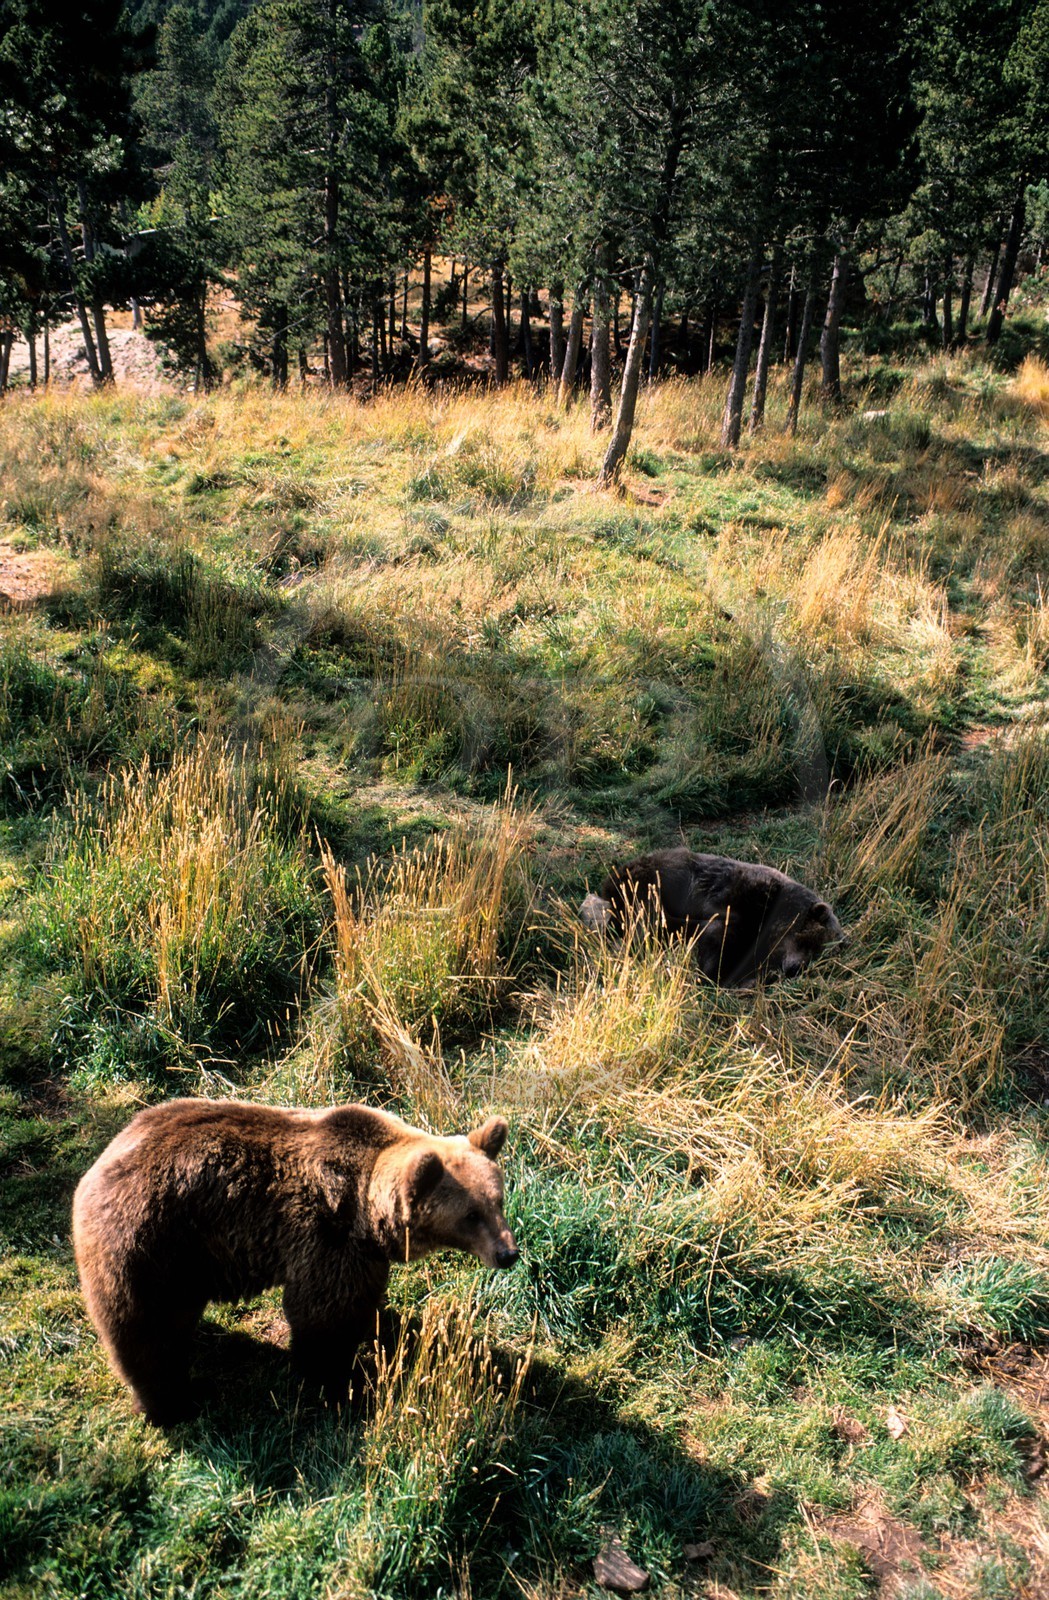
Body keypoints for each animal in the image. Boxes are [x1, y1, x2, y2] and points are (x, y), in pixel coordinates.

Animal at [72, 1098, 518, 1426]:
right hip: (150, 1247)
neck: (368, 1210)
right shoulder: (328, 1240)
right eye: (470, 1215)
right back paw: (169, 1404)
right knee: (145, 1334)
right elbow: (322, 1317)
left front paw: (381, 1325)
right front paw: (338, 1384)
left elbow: (366, 1302)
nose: (508, 1253)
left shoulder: (363, 1252)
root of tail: (94, 1171)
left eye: (498, 1200)